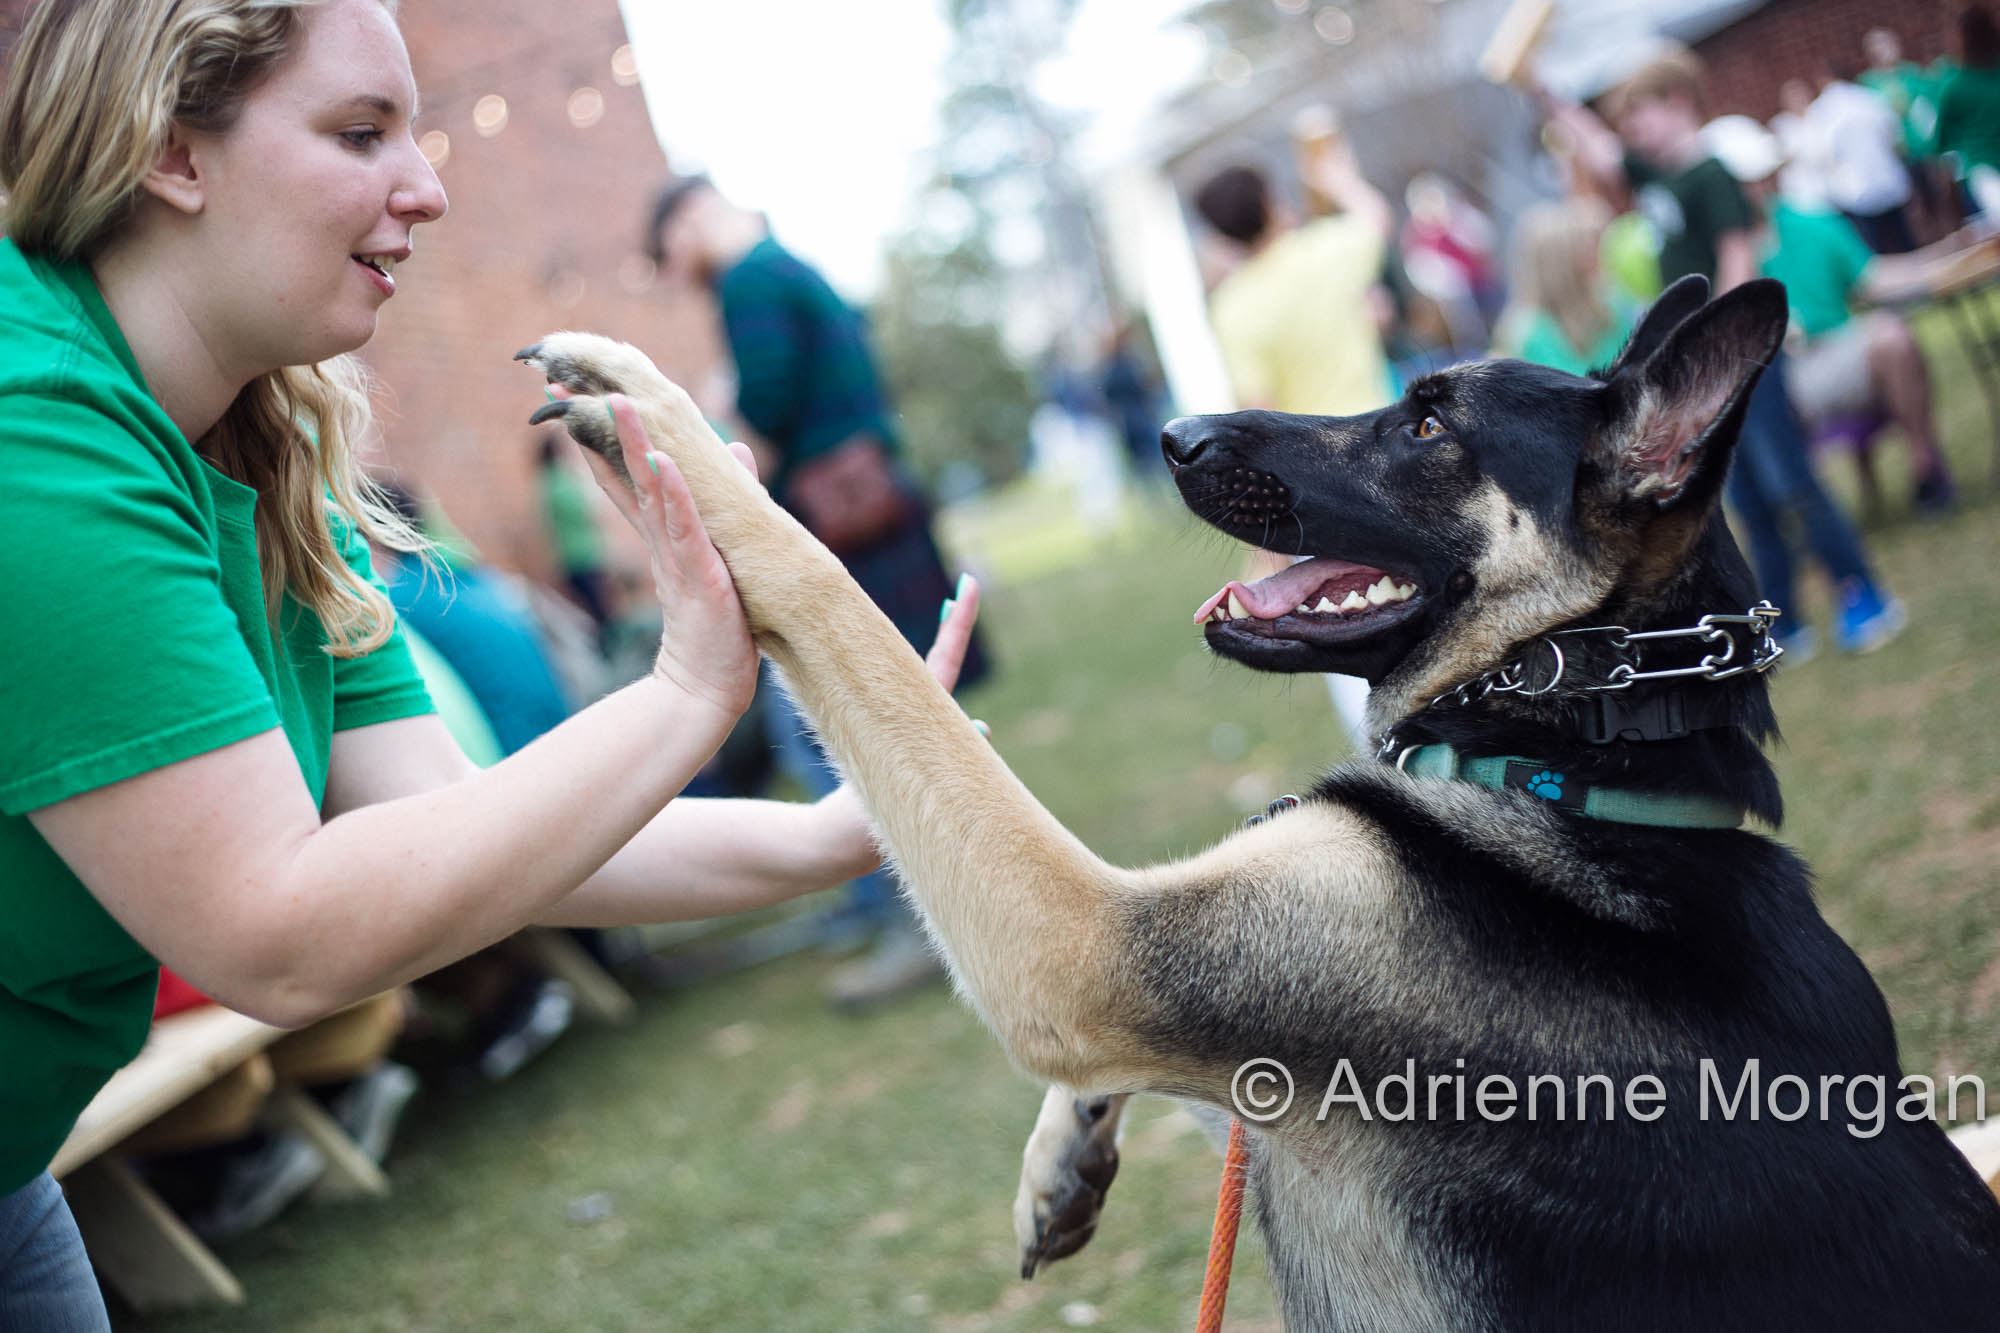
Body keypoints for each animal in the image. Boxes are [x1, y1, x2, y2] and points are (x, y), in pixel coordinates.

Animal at [520, 274, 2000, 1320]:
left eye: (1425, 424)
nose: (1171, 431)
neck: (1578, 754)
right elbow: (1188, 1085)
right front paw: (1062, 1160)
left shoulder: (1087, 945)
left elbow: (841, 607)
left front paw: (659, 422)